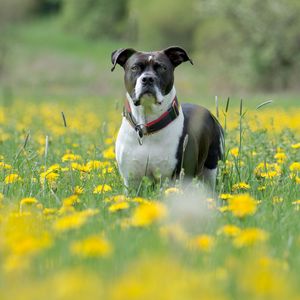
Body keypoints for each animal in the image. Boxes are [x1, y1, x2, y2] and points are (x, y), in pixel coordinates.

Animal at [111, 45, 224, 189]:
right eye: (135, 67)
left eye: (162, 68)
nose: (148, 78)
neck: (148, 127)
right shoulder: (131, 181)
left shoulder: (179, 177)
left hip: (212, 167)